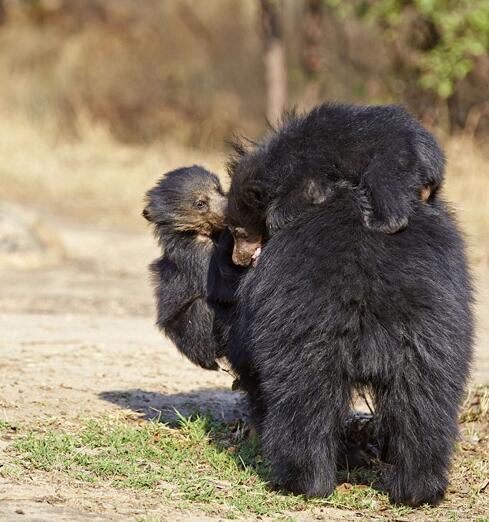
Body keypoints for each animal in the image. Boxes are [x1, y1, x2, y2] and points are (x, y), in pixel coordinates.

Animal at [225, 101, 472, 504]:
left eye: (238, 232)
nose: (240, 259)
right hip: (434, 338)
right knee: (424, 407)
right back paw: (417, 490)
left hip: (306, 336)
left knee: (302, 403)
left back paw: (302, 482)